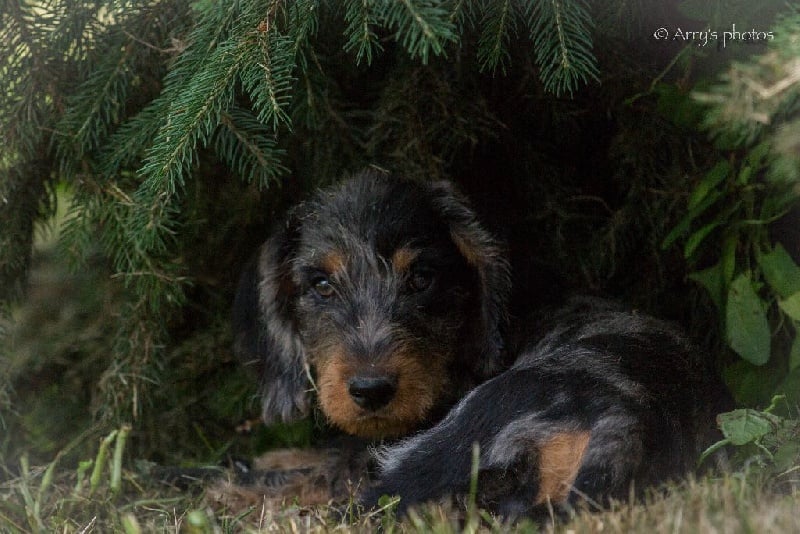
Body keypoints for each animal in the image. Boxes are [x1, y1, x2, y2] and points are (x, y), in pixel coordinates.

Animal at [232, 169, 729, 518]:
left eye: (421, 278)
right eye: (321, 285)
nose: (371, 390)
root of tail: (627, 424)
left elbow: (306, 470)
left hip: (449, 439)